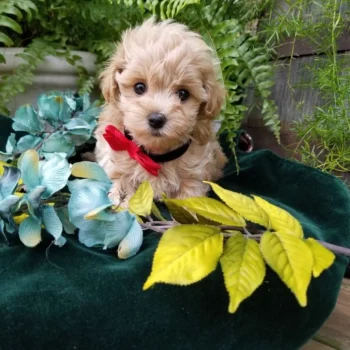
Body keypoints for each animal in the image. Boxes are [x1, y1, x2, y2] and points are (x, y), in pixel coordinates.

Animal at [94, 18, 228, 205]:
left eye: (183, 94)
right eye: (139, 87)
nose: (157, 119)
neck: (154, 156)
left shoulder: (195, 176)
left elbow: (189, 199)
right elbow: (122, 182)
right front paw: (122, 199)